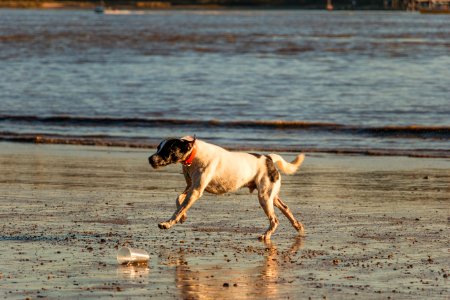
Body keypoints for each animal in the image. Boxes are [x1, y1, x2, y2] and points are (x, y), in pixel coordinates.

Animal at [148, 136, 306, 241]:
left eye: (167, 150)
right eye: (157, 148)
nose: (150, 159)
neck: (193, 154)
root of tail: (269, 158)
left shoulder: (196, 191)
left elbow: (179, 209)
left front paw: (168, 223)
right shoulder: (191, 187)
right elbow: (179, 200)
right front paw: (183, 217)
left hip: (264, 197)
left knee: (274, 220)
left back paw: (266, 235)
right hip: (271, 196)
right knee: (285, 208)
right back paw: (298, 226)